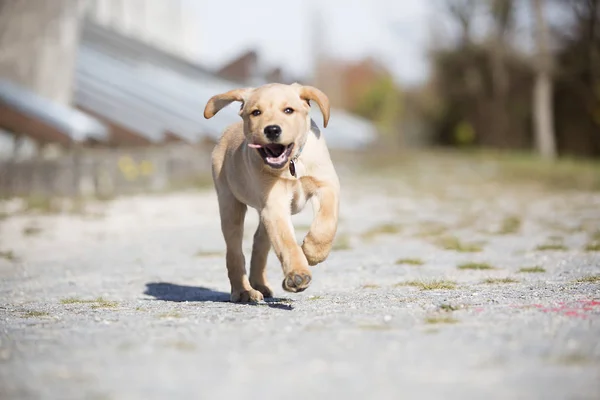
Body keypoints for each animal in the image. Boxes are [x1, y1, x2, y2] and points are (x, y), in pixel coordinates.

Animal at [204, 83, 340, 304]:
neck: (292, 164)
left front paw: (313, 252)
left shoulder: (327, 185)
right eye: (256, 113)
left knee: (259, 240)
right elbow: (287, 243)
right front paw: (298, 274)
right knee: (234, 253)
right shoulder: (274, 205)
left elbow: (326, 222)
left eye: (288, 110)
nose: (272, 129)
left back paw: (259, 283)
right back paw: (244, 291)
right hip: (230, 204)